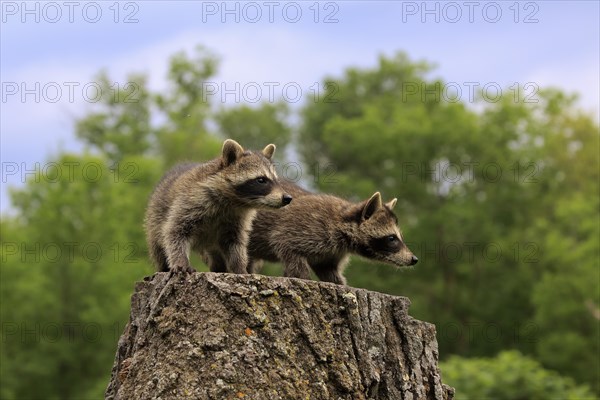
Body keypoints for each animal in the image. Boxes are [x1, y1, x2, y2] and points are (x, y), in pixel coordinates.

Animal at [144, 139, 292, 274]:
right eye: (261, 180)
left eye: (276, 180)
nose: (287, 198)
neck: (235, 202)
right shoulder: (191, 201)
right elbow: (175, 231)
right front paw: (181, 261)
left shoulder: (237, 220)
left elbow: (235, 243)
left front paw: (239, 267)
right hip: (154, 218)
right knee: (159, 246)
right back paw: (163, 267)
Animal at [247, 184, 418, 284]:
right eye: (392, 238)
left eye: (399, 237)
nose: (414, 259)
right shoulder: (302, 229)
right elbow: (288, 250)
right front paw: (303, 277)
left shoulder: (331, 252)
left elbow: (328, 270)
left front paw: (340, 284)